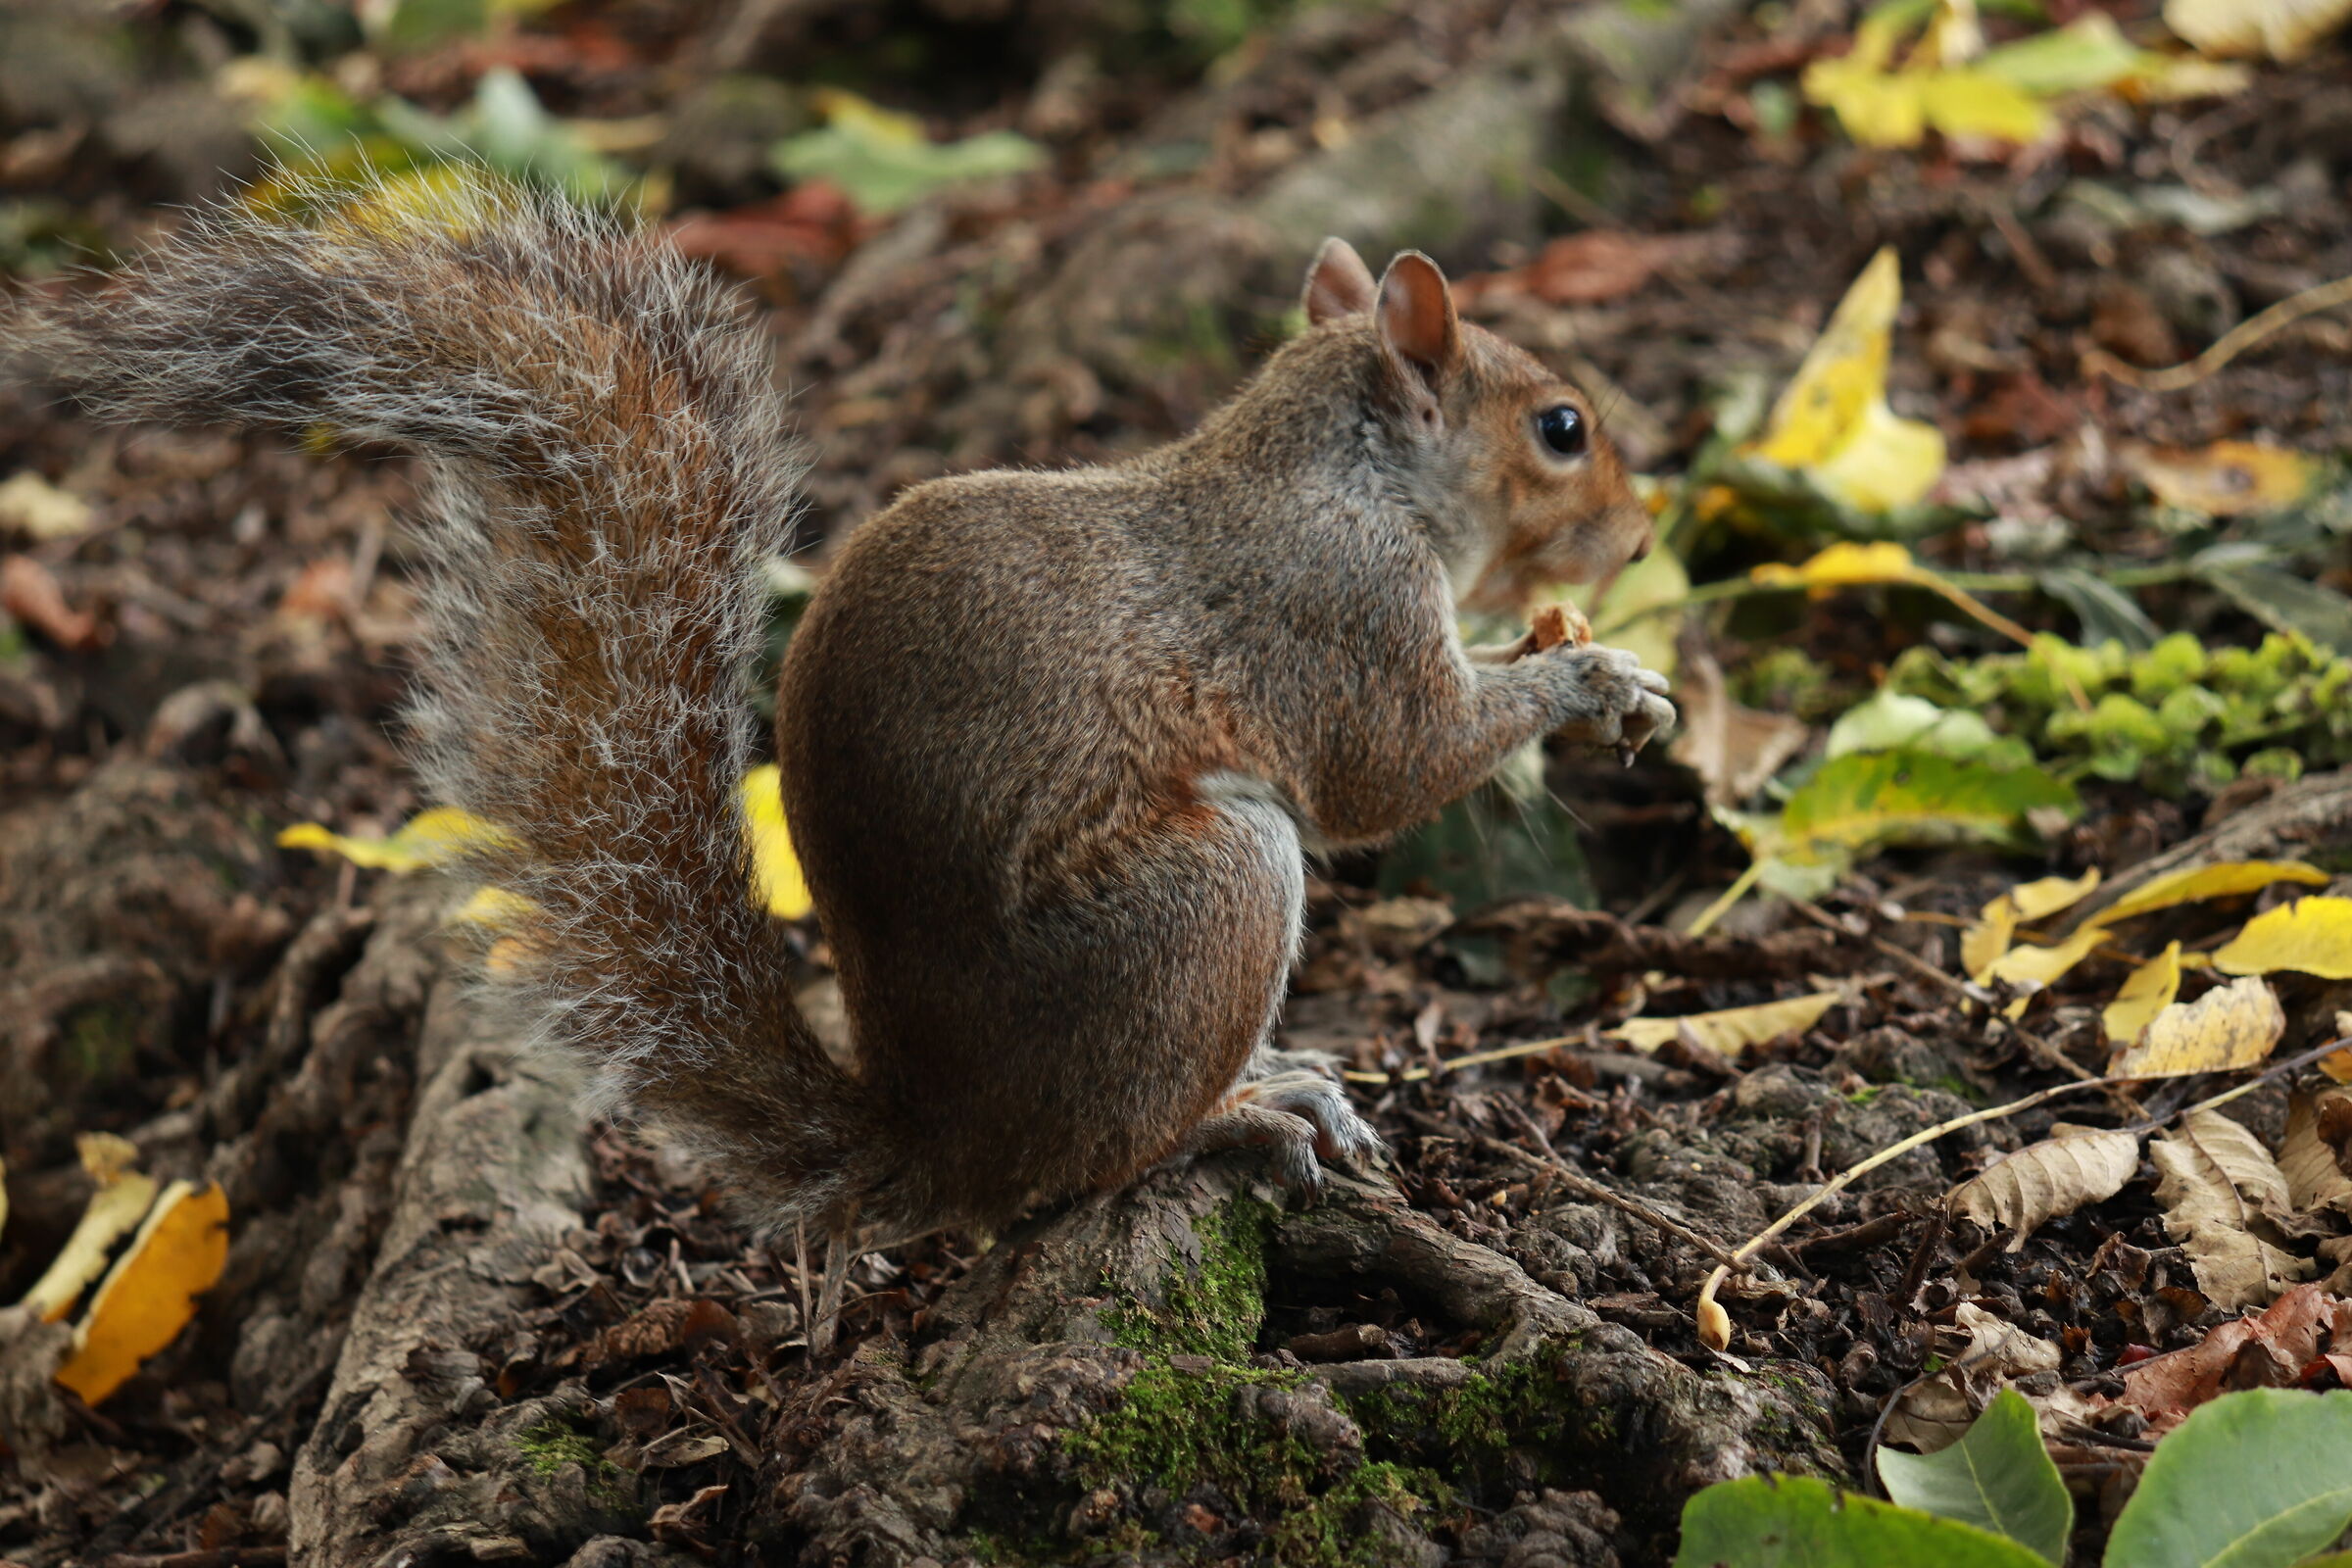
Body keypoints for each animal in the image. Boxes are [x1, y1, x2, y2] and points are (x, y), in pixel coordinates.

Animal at [9, 181, 1671, 1247]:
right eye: (1560, 428)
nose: (1647, 534)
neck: (1346, 466)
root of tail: (936, 1138)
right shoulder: (1341, 613)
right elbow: (1393, 771)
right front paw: (1596, 681)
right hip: (1211, 894)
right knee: (1086, 1169)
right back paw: (1240, 1115)